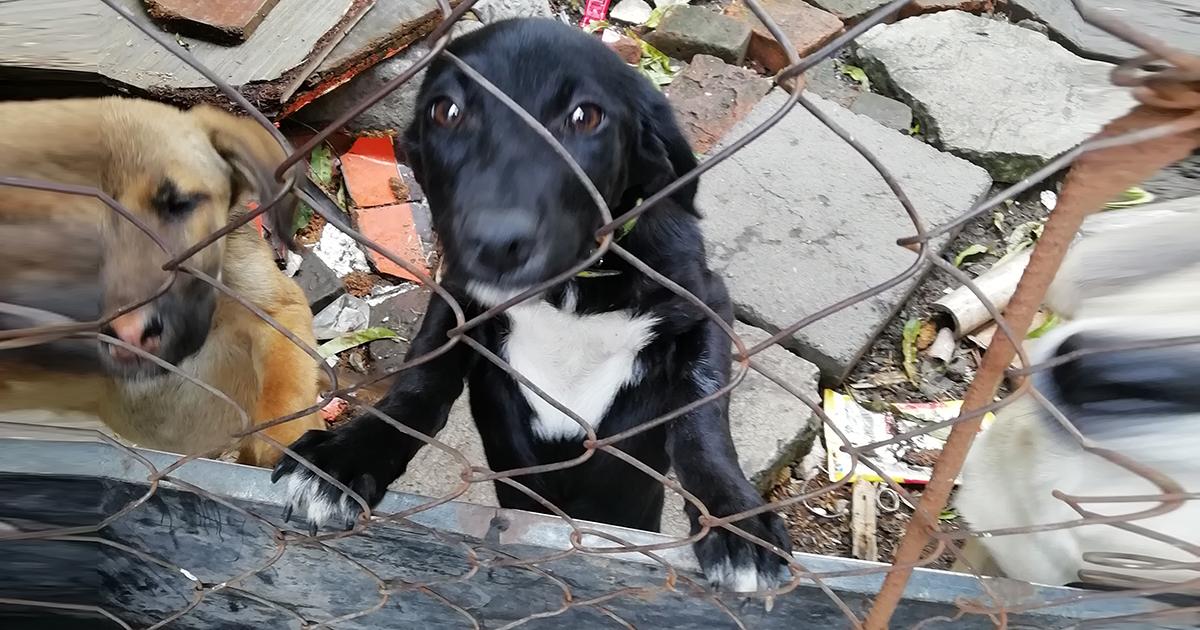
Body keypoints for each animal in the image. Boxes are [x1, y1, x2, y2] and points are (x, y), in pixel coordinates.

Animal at [274, 18, 792, 590]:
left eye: (586, 117)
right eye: (445, 111)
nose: (495, 243)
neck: (570, 292)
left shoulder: (706, 306)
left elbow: (703, 419)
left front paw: (735, 517)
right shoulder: (459, 300)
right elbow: (420, 381)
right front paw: (344, 458)